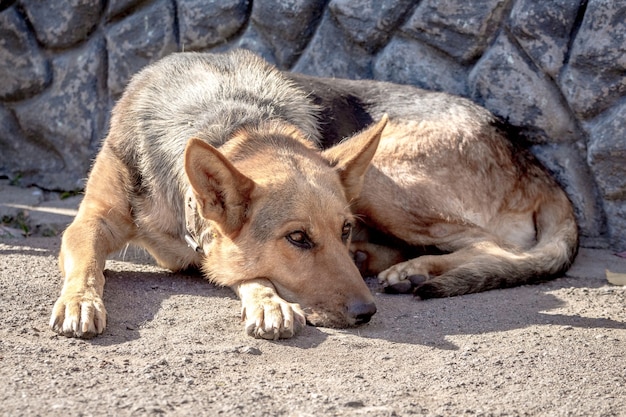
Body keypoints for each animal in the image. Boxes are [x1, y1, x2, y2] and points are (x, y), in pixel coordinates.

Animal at [48, 50, 576, 340]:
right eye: (298, 239)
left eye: (341, 229)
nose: (367, 314)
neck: (236, 124)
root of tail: (529, 154)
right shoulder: (91, 220)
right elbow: (88, 264)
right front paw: (80, 301)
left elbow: (245, 270)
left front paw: (268, 301)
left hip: (383, 179)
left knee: (496, 249)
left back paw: (414, 269)